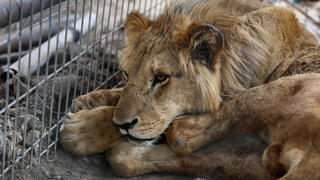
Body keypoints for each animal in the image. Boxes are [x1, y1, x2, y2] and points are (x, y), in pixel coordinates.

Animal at [58, 0, 320, 179]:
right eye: (126, 74)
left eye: (160, 77)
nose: (123, 124)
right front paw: (90, 101)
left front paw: (83, 127)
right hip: (261, 159)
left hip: (298, 83)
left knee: (182, 133)